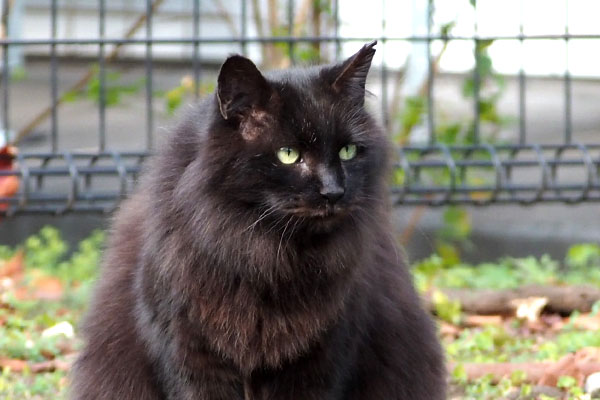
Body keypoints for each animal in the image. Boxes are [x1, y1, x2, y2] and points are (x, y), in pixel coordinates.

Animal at [70, 41, 446, 400]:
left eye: (347, 151)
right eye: (289, 154)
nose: (334, 191)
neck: (266, 255)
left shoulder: (321, 357)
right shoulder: (187, 351)